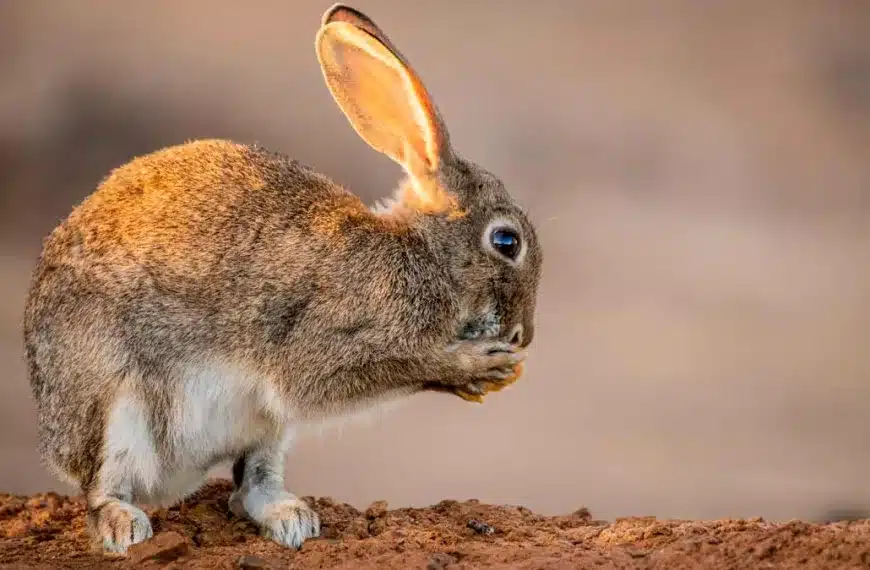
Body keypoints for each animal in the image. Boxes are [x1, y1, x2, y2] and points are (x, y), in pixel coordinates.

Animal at [20, 3, 540, 556]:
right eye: (506, 242)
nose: (522, 335)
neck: (424, 256)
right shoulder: (322, 344)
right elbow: (367, 370)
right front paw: (475, 366)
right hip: (112, 407)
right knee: (102, 488)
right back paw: (124, 526)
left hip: (266, 429)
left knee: (250, 485)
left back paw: (290, 519)